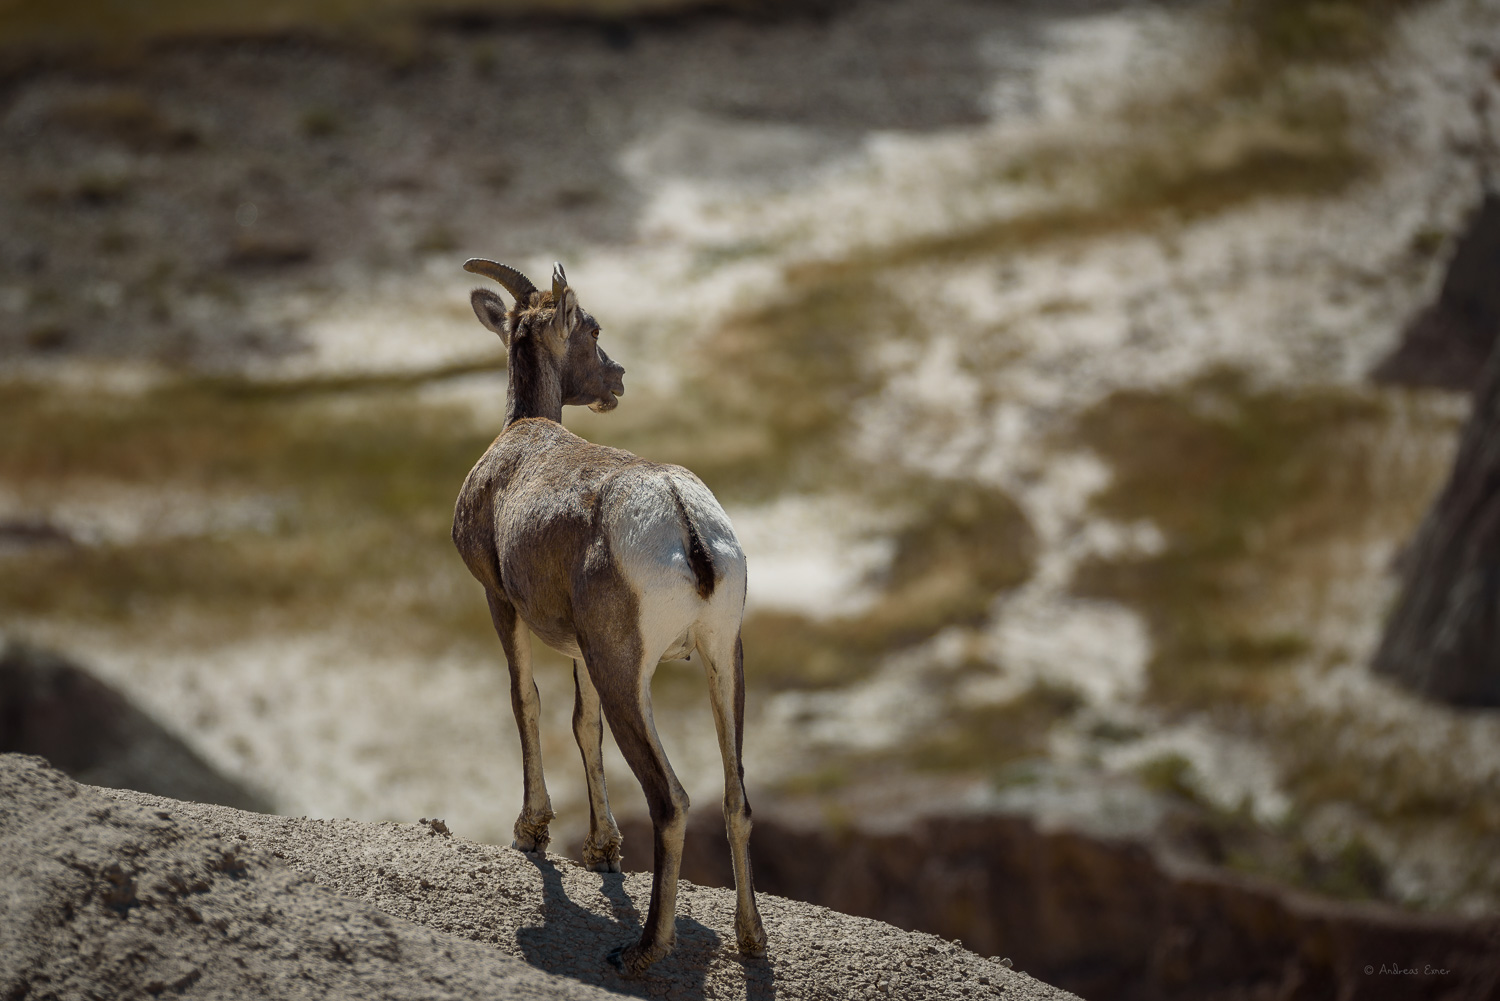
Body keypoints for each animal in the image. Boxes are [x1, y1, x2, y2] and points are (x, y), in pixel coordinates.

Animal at [450, 261, 768, 978]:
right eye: (594, 330)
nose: (617, 378)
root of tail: (682, 519)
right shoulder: (581, 650)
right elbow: (582, 725)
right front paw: (601, 850)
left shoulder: (500, 602)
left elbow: (526, 701)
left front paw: (532, 831)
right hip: (722, 658)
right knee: (735, 797)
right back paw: (751, 940)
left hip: (629, 672)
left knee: (671, 800)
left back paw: (643, 949)